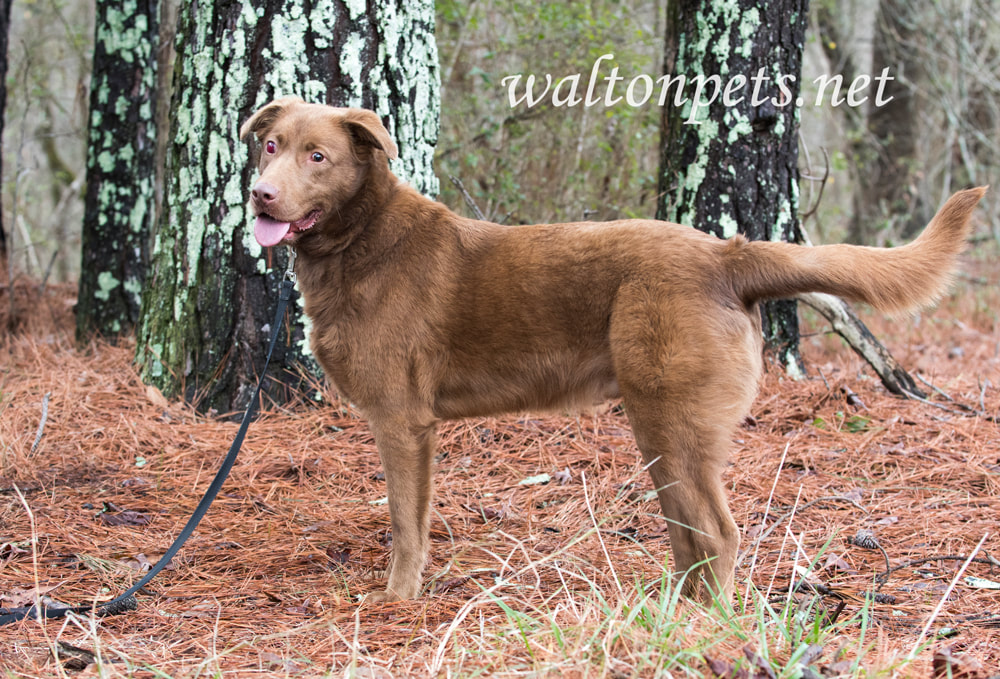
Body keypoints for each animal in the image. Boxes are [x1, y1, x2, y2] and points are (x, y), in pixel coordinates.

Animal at [240, 97, 984, 604]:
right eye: (270, 145)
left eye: (317, 156)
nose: (260, 193)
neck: (360, 241)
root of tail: (727, 255)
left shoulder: (402, 422)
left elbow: (404, 522)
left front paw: (396, 600)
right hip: (661, 426)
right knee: (687, 532)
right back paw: (673, 608)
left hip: (671, 416)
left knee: (718, 532)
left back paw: (706, 624)